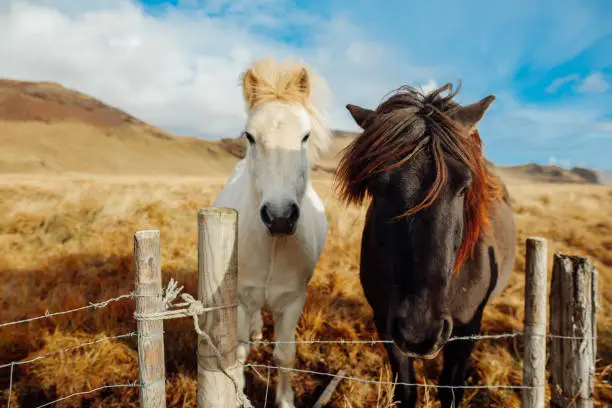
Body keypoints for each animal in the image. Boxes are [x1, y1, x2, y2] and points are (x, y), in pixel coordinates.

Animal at [213, 57, 332, 408]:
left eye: (305, 136)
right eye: (249, 136)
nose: (279, 217)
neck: (273, 247)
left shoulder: (293, 302)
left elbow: (284, 356)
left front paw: (286, 400)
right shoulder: (240, 299)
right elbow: (238, 354)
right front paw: (238, 395)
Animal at [334, 83, 516, 408]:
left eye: (464, 186)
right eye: (376, 186)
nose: (419, 330)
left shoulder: (466, 329)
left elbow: (450, 390)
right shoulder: (386, 324)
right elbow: (405, 390)